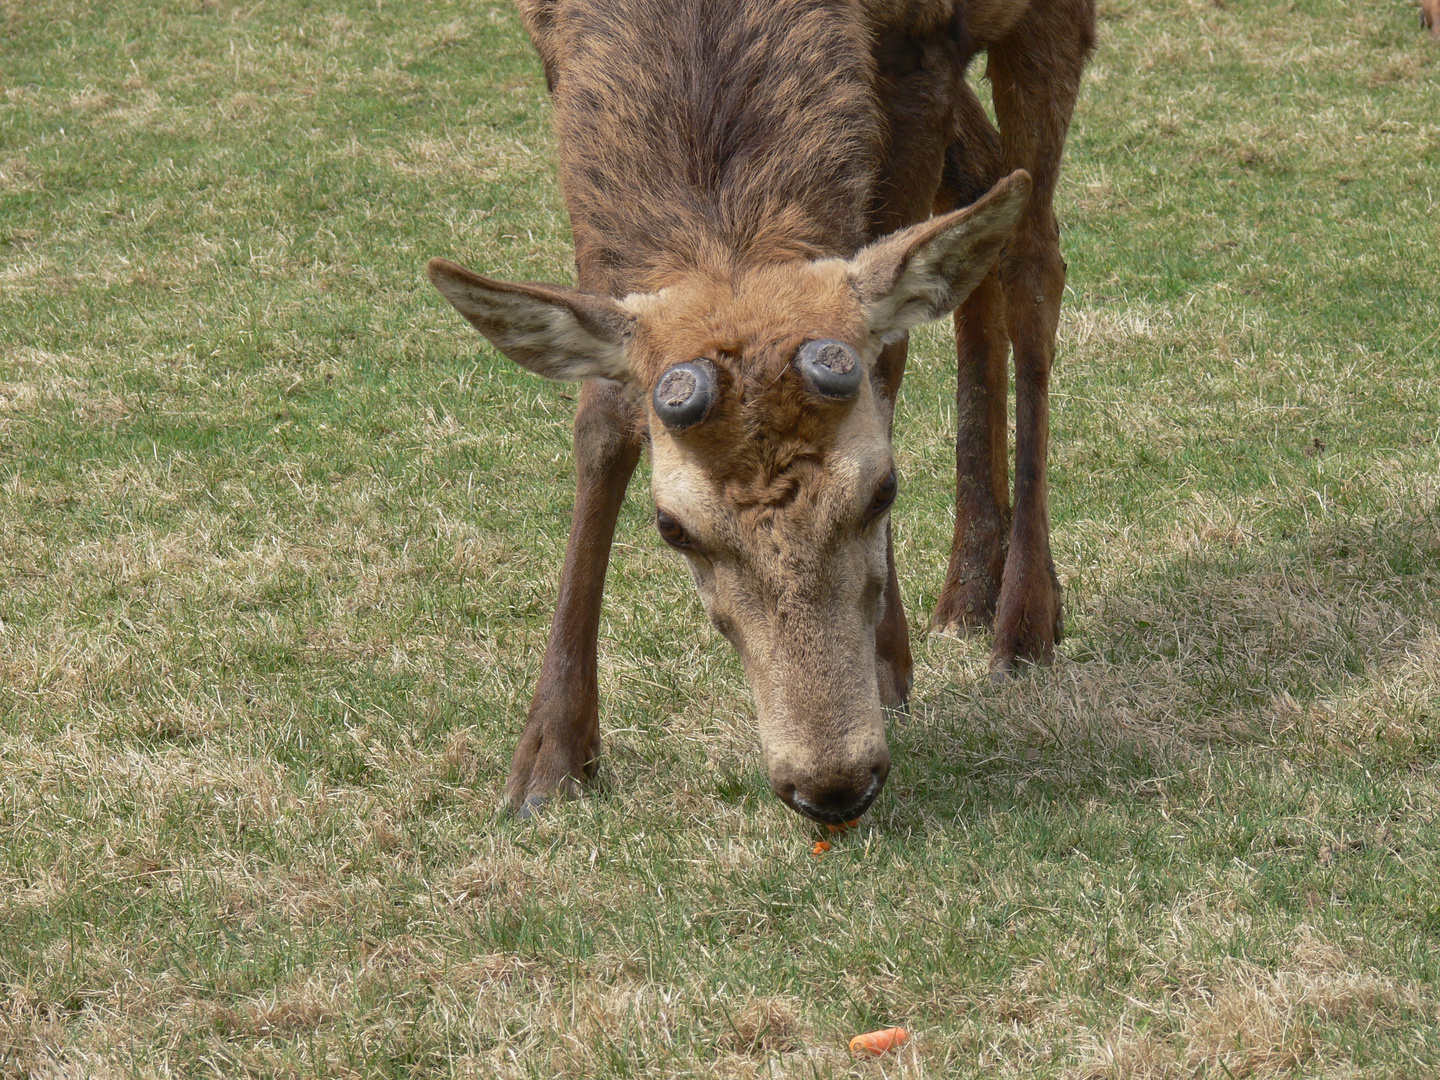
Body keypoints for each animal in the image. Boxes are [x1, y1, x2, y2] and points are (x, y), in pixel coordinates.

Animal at [423, 0, 1088, 823]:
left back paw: (1024, 619)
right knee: (984, 213)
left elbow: (890, 356)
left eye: (885, 489)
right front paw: (550, 755)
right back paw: (968, 588)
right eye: (671, 527)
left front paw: (889, 662)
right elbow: (603, 416)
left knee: (1032, 251)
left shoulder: (918, 50)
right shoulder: (553, 59)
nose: (833, 783)